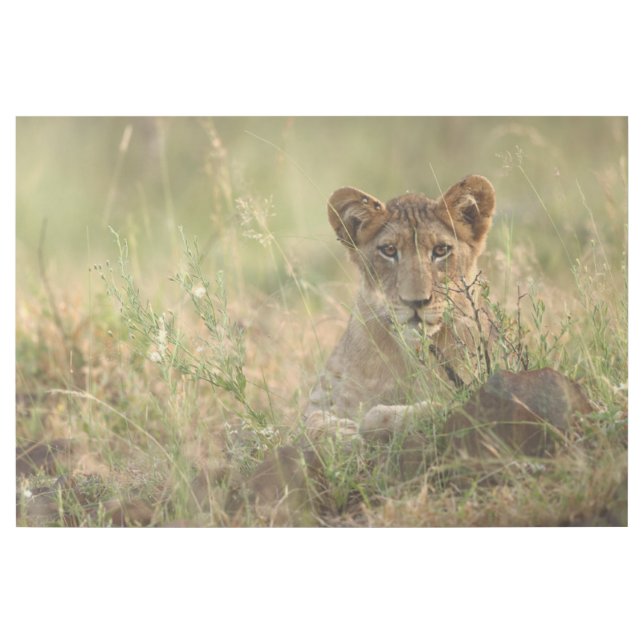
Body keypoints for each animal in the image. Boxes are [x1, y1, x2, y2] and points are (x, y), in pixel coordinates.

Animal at [305, 174, 496, 441]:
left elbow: (385, 415)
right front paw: (342, 432)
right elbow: (311, 422)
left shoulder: (473, 389)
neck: (410, 355)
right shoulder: (320, 399)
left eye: (440, 250)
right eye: (389, 250)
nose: (415, 301)